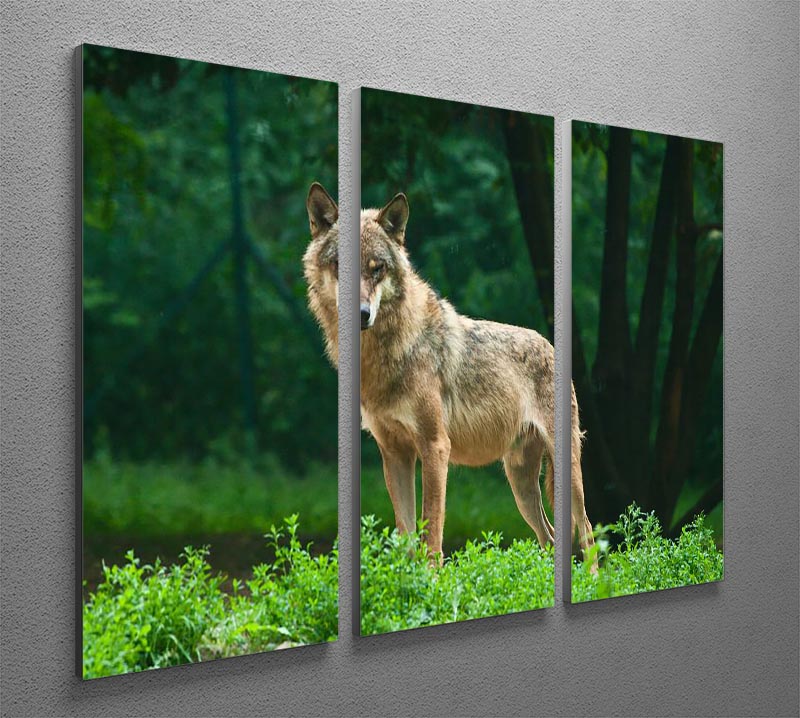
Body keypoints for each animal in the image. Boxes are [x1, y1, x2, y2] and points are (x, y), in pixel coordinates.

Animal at [303, 182, 595, 562]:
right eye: (339, 265)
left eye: (377, 268)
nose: (362, 314)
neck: (388, 355)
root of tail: (550, 345)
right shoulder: (394, 454)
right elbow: (406, 536)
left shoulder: (434, 447)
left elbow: (431, 534)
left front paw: (431, 576)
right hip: (520, 484)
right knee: (550, 538)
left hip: (565, 471)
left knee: (587, 531)